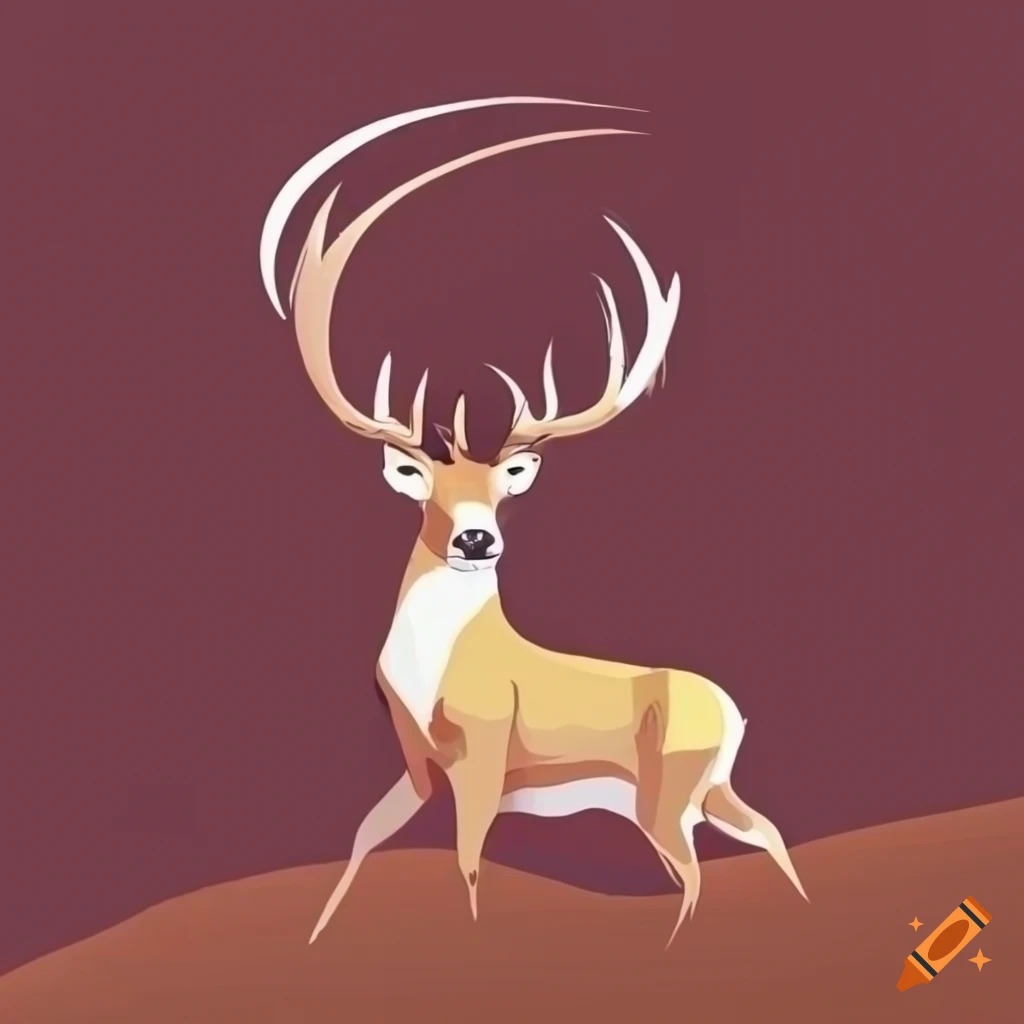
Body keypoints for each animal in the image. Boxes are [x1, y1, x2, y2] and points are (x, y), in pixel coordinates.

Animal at [260, 97, 808, 950]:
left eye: (505, 487)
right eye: (424, 486)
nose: (476, 539)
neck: (436, 669)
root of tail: (732, 708)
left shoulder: (484, 756)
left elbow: (467, 866)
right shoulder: (416, 765)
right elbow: (360, 838)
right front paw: (317, 936)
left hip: (669, 789)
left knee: (694, 875)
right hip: (704, 790)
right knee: (766, 831)